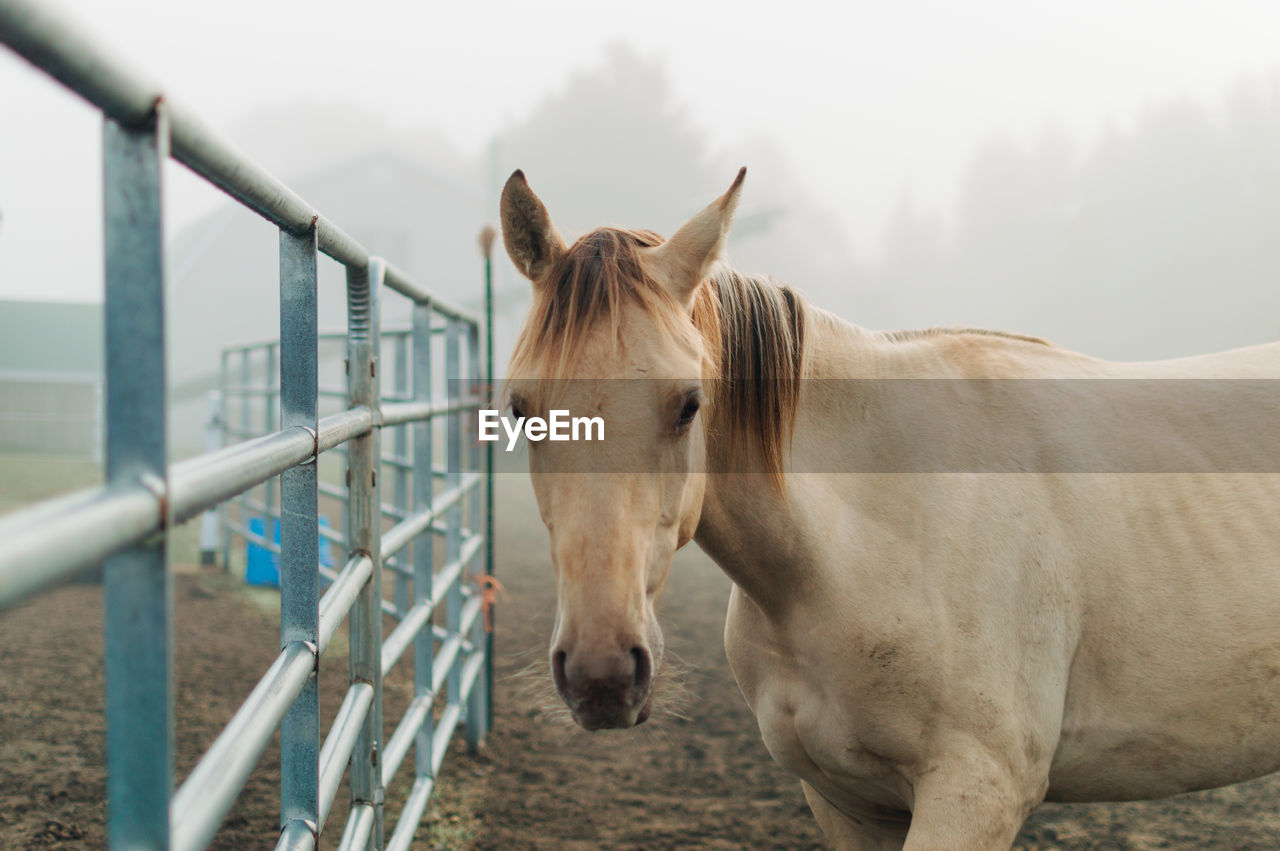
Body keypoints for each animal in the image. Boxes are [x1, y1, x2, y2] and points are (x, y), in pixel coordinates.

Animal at [496, 167, 1280, 849]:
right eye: (520, 408)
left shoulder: (974, 794)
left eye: (689, 403)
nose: (602, 673)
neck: (865, 541)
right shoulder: (846, 800)